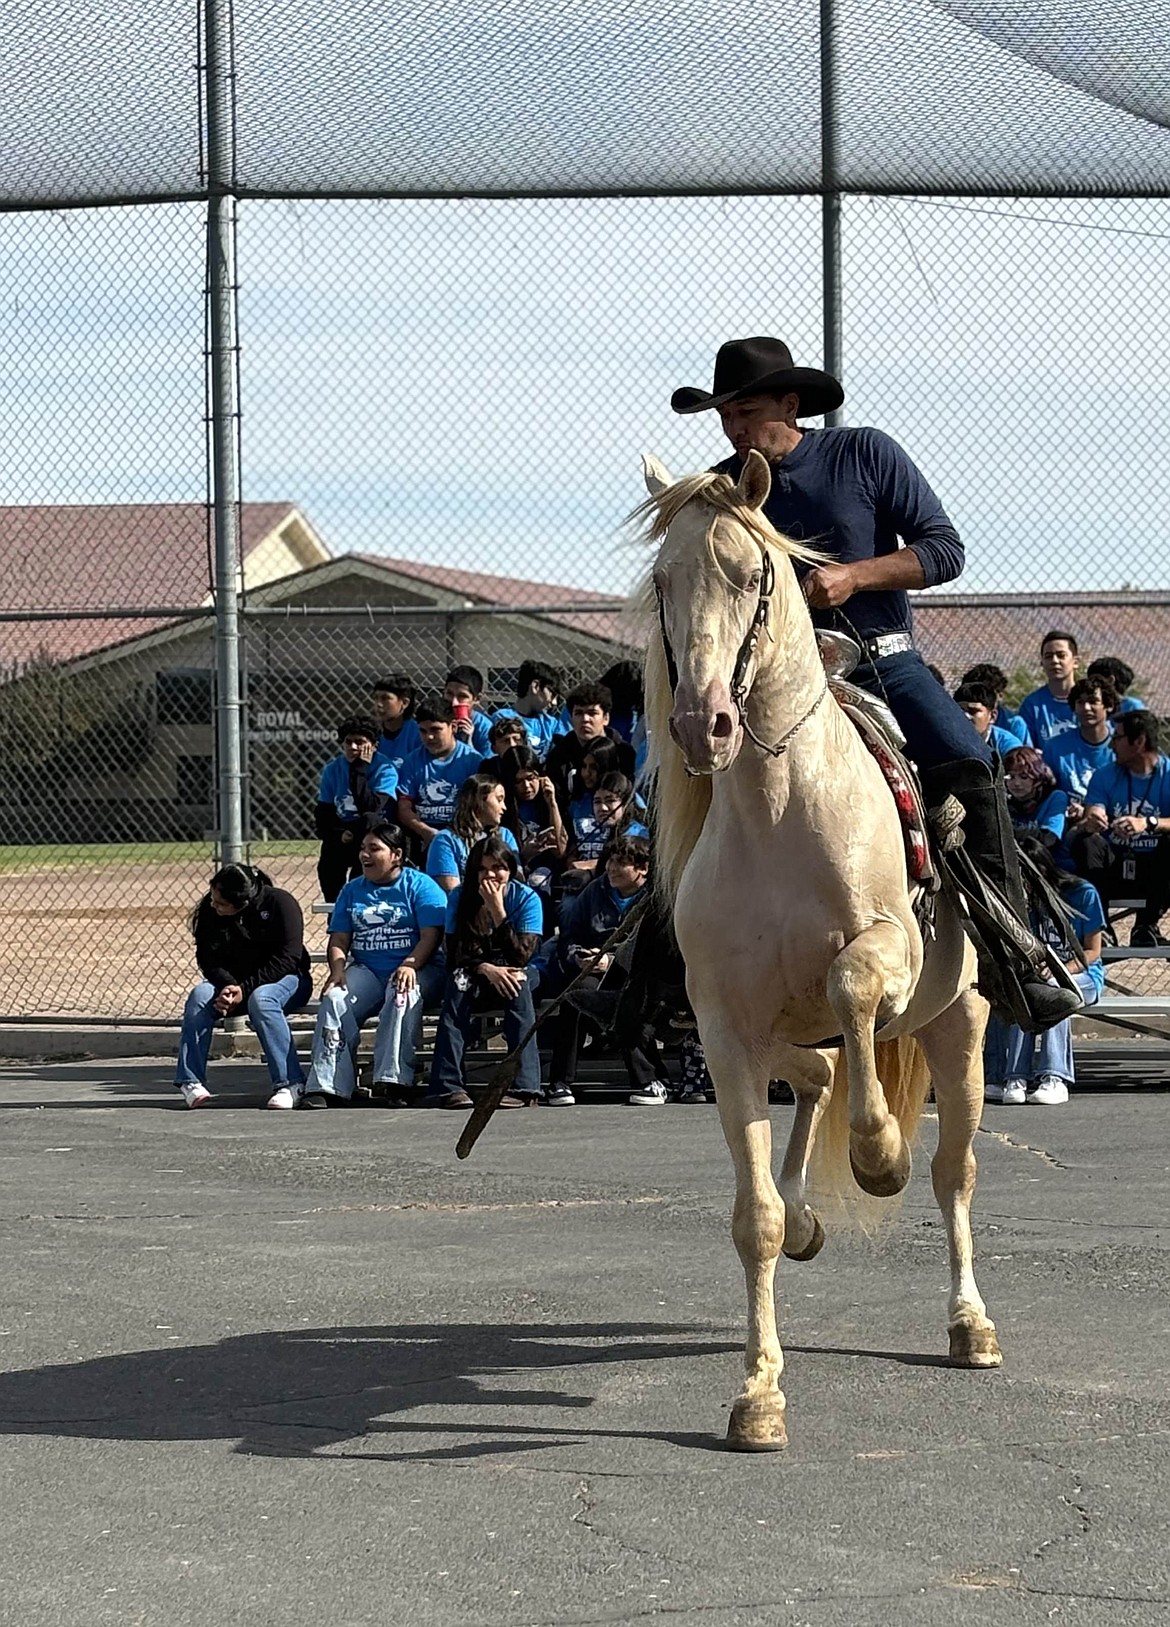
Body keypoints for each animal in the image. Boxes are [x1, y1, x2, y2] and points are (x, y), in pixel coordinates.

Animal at [637, 448, 1002, 1452]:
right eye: (662, 581)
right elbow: (755, 1217)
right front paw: (758, 1394)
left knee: (951, 1170)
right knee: (816, 1074)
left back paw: (971, 1323)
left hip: (961, 1022)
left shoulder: (890, 953)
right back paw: (809, 1210)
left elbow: (852, 981)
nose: (704, 725)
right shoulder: (725, 1030)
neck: (780, 811)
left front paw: (878, 1154)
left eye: (752, 574)